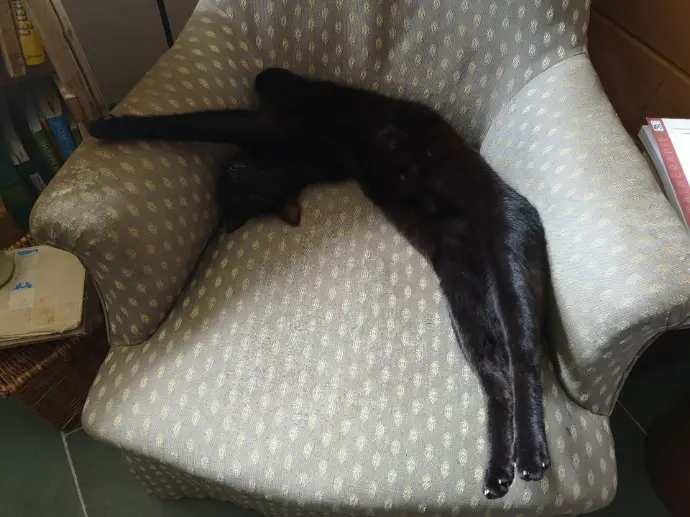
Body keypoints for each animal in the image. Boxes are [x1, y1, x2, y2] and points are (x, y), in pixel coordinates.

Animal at [89, 67, 551, 499]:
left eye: (240, 184)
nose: (230, 176)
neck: (301, 162)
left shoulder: (275, 117)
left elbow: (201, 120)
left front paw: (106, 127)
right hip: (463, 296)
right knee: (495, 380)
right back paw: (498, 472)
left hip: (506, 251)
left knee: (523, 357)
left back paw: (530, 456)